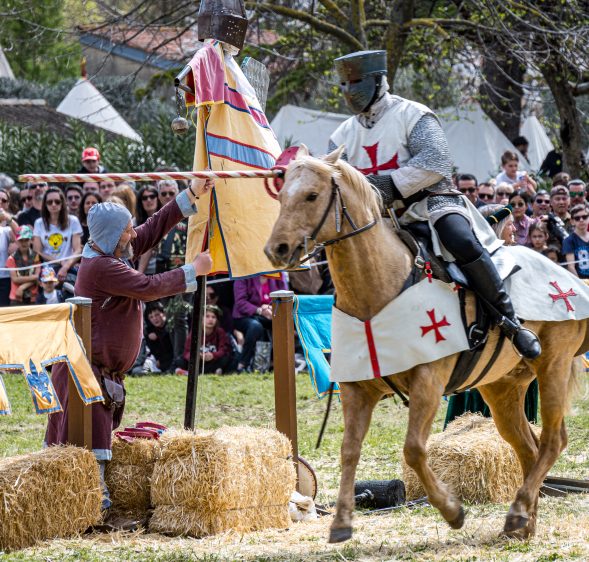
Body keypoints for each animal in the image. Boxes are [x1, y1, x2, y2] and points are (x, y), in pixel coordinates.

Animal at [264, 145, 584, 544]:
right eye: (282, 195)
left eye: (311, 195)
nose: (277, 249)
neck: (377, 288)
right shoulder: (357, 389)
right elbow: (349, 450)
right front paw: (341, 522)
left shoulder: (428, 383)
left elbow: (414, 450)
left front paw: (451, 511)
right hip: (502, 385)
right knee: (529, 448)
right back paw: (521, 521)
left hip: (553, 364)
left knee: (554, 440)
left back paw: (519, 514)